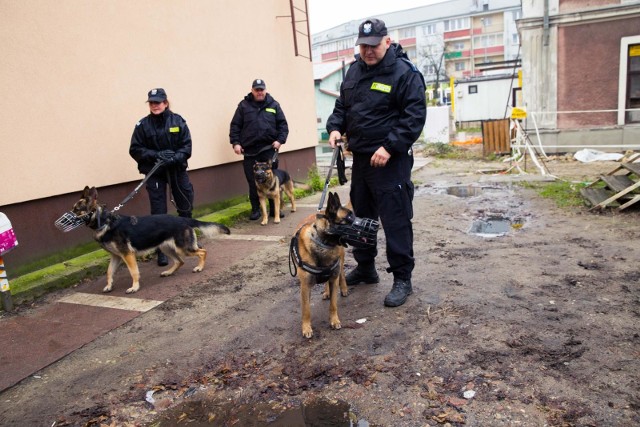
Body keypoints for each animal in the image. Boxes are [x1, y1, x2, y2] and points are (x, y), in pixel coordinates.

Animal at [62, 187, 231, 294]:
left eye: (76, 210)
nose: (62, 223)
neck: (104, 221)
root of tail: (183, 218)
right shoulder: (116, 256)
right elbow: (109, 272)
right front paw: (109, 286)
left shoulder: (127, 255)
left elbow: (133, 272)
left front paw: (135, 287)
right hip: (166, 248)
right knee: (180, 261)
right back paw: (169, 272)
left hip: (183, 248)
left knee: (202, 251)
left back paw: (199, 267)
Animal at [290, 193, 350, 338]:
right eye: (349, 218)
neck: (323, 244)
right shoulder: (305, 287)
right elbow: (306, 310)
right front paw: (306, 328)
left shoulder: (334, 278)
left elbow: (333, 304)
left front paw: (334, 321)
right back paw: (326, 292)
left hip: (340, 261)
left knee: (342, 273)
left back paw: (344, 288)